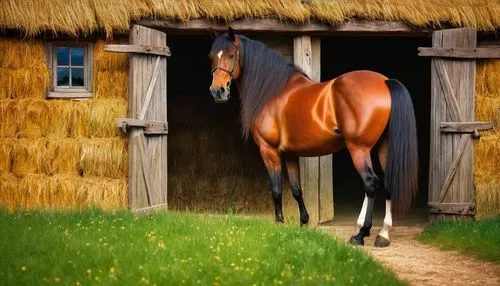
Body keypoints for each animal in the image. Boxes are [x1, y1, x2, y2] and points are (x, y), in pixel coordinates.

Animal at [208, 29, 418, 248]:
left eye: (232, 55)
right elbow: (296, 189)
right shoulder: (289, 154)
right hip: (384, 146)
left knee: (370, 184)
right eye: (212, 57)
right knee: (387, 183)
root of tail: (385, 82)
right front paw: (303, 222)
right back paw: (382, 234)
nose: (217, 91)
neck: (272, 91)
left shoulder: (269, 150)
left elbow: (276, 189)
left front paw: (280, 223)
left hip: (359, 149)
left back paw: (361, 234)